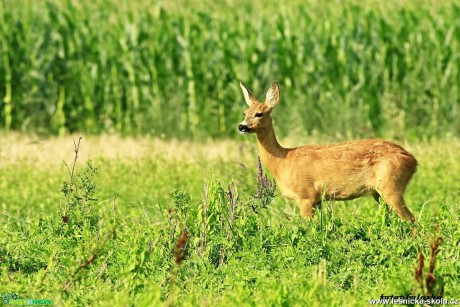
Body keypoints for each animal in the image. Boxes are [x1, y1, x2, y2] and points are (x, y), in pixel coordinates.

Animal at [239, 80, 418, 223]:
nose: (241, 126)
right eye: (245, 113)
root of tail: (413, 161)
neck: (283, 161)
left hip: (391, 185)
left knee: (411, 219)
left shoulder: (306, 195)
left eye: (259, 114)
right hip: (379, 192)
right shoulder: (318, 200)